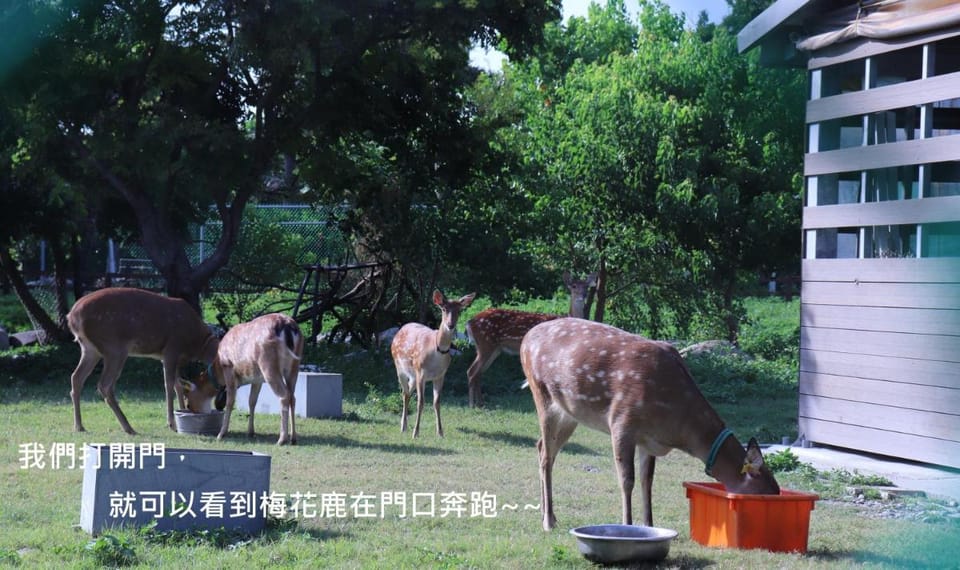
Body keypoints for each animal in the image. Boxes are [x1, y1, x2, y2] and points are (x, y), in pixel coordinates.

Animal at [67, 287, 220, 435]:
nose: (194, 410)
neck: (196, 344)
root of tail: (71, 316)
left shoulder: (173, 358)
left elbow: (178, 385)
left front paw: (179, 414)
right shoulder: (171, 349)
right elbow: (169, 385)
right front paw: (172, 423)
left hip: (90, 349)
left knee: (76, 377)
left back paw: (79, 426)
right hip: (114, 348)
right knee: (104, 384)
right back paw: (128, 427)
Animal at [182, 313, 304, 445]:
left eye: (188, 404)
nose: (195, 413)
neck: (219, 367)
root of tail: (287, 327)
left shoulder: (229, 368)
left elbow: (230, 402)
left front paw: (221, 434)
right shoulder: (257, 379)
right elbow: (252, 401)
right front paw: (250, 432)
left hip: (268, 365)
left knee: (284, 396)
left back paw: (282, 439)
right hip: (294, 365)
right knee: (293, 397)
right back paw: (293, 438)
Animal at [391, 290, 476, 438]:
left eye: (459, 310)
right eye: (444, 309)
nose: (450, 325)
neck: (437, 351)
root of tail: (400, 330)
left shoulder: (441, 375)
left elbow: (436, 402)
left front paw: (440, 432)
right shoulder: (421, 372)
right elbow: (421, 402)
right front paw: (416, 433)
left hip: (413, 375)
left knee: (407, 393)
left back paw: (405, 425)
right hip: (399, 367)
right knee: (404, 393)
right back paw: (403, 427)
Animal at [464, 271, 596, 407]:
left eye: (586, 287)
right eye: (574, 286)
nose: (583, 295)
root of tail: (469, 323)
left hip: (493, 348)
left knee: (479, 372)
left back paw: (481, 403)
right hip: (486, 344)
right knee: (471, 371)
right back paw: (472, 404)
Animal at [520, 317, 780, 531]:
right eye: (764, 495)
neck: (677, 427)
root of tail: (525, 339)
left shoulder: (649, 440)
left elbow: (648, 481)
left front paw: (649, 525)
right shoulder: (622, 422)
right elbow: (627, 480)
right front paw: (627, 525)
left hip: (569, 414)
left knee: (542, 446)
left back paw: (548, 514)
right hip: (542, 394)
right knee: (546, 456)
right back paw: (548, 521)